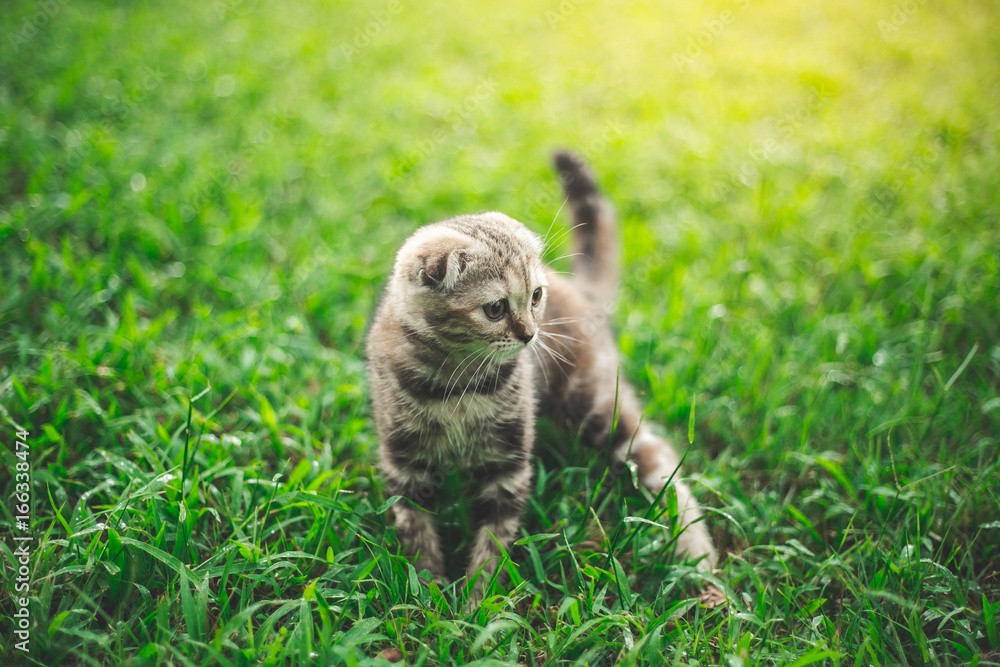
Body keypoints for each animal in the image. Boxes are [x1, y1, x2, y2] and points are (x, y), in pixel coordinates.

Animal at [368, 153, 720, 604]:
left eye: (535, 296)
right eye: (496, 308)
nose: (531, 334)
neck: (458, 384)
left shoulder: (509, 462)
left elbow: (495, 538)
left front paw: (478, 600)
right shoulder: (404, 462)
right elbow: (417, 533)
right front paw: (427, 593)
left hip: (593, 400)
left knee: (654, 454)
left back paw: (696, 552)